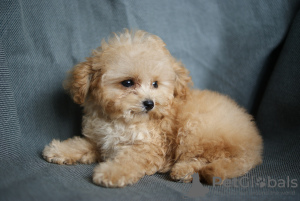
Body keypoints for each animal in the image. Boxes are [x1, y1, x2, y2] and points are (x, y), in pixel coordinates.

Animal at [42, 29, 262, 188]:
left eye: (155, 84)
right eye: (128, 83)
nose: (150, 103)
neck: (124, 121)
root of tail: (254, 144)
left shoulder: (148, 148)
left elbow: (129, 161)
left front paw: (110, 173)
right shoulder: (99, 141)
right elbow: (80, 144)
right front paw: (59, 150)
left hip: (197, 128)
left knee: (211, 158)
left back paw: (184, 170)